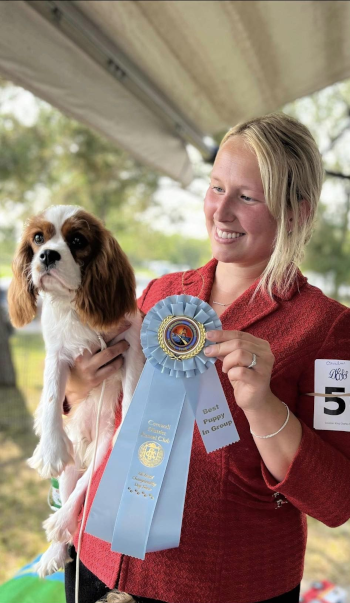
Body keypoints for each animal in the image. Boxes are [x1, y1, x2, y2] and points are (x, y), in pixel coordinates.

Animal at [8, 205, 145, 580]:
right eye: (38, 238)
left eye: (78, 241)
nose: (47, 255)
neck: (75, 307)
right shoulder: (56, 354)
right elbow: (53, 396)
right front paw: (49, 448)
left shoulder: (130, 341)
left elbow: (132, 386)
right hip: (71, 465)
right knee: (72, 487)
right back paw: (55, 549)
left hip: (102, 448)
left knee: (85, 489)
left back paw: (60, 521)